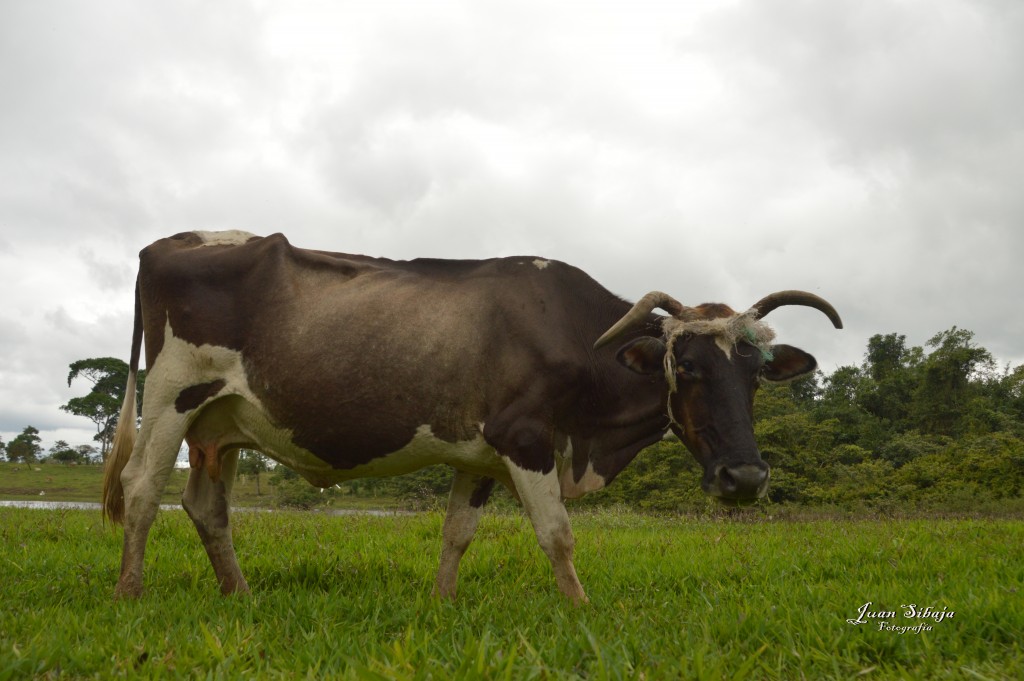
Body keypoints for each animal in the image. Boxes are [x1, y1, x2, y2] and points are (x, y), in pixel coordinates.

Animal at [101, 232, 839, 602]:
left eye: (755, 374)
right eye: (684, 367)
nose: (745, 478)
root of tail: (174, 240)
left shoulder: (479, 452)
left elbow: (457, 533)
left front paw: (443, 603)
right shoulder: (524, 436)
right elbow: (557, 534)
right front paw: (580, 610)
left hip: (219, 425)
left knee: (206, 507)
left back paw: (240, 594)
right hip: (173, 395)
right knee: (141, 491)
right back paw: (130, 592)